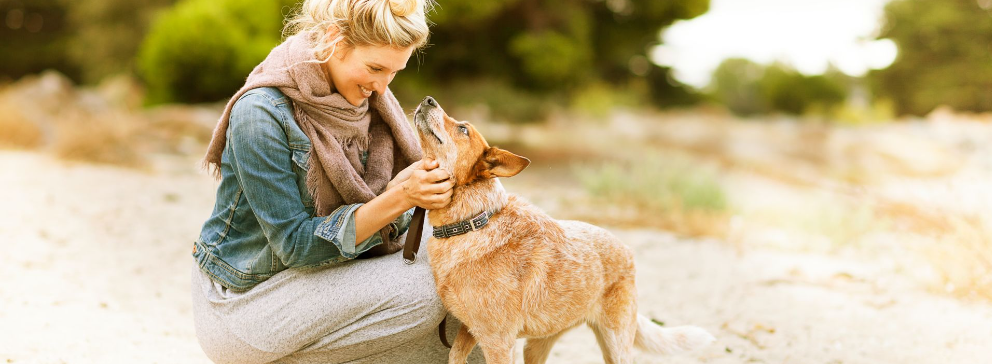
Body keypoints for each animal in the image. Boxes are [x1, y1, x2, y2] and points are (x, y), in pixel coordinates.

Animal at [414, 96, 716, 364]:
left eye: (463, 129)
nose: (428, 99)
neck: (473, 221)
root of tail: (628, 252)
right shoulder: (470, 329)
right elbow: (454, 356)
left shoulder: (498, 340)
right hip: (539, 342)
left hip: (615, 344)